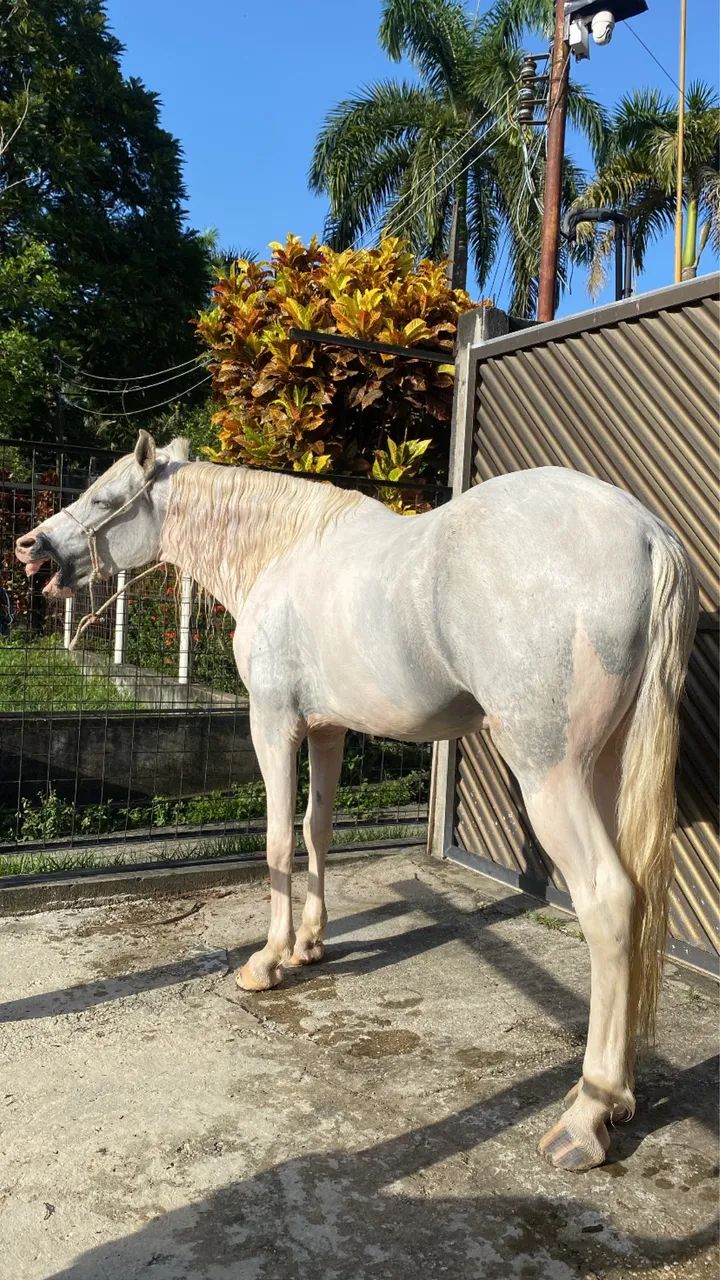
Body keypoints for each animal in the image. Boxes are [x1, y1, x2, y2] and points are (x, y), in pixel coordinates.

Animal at [16, 429, 698, 1172]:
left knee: (609, 901)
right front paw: (311, 945)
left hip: (551, 774)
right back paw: (618, 1098)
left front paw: (268, 961)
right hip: (606, 767)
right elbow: (317, 829)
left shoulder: (273, 723)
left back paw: (586, 1115)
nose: (30, 546)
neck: (281, 553)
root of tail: (648, 536)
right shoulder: (327, 729)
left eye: (104, 498)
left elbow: (277, 841)